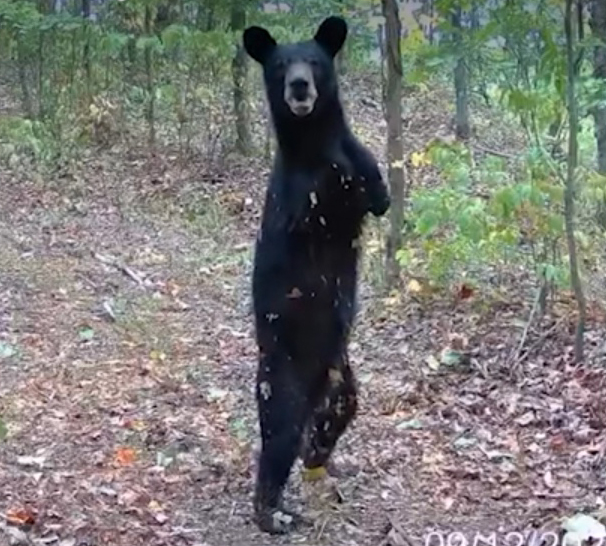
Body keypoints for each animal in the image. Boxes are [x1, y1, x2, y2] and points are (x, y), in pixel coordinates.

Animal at [245, 15, 392, 532]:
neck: (314, 141)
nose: (299, 86)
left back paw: (318, 458)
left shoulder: (363, 167)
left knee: (335, 417)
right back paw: (273, 513)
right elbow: (317, 203)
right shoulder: (298, 197)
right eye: (280, 65)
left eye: (314, 60)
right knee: (278, 438)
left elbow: (376, 191)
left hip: (342, 379)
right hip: (282, 376)